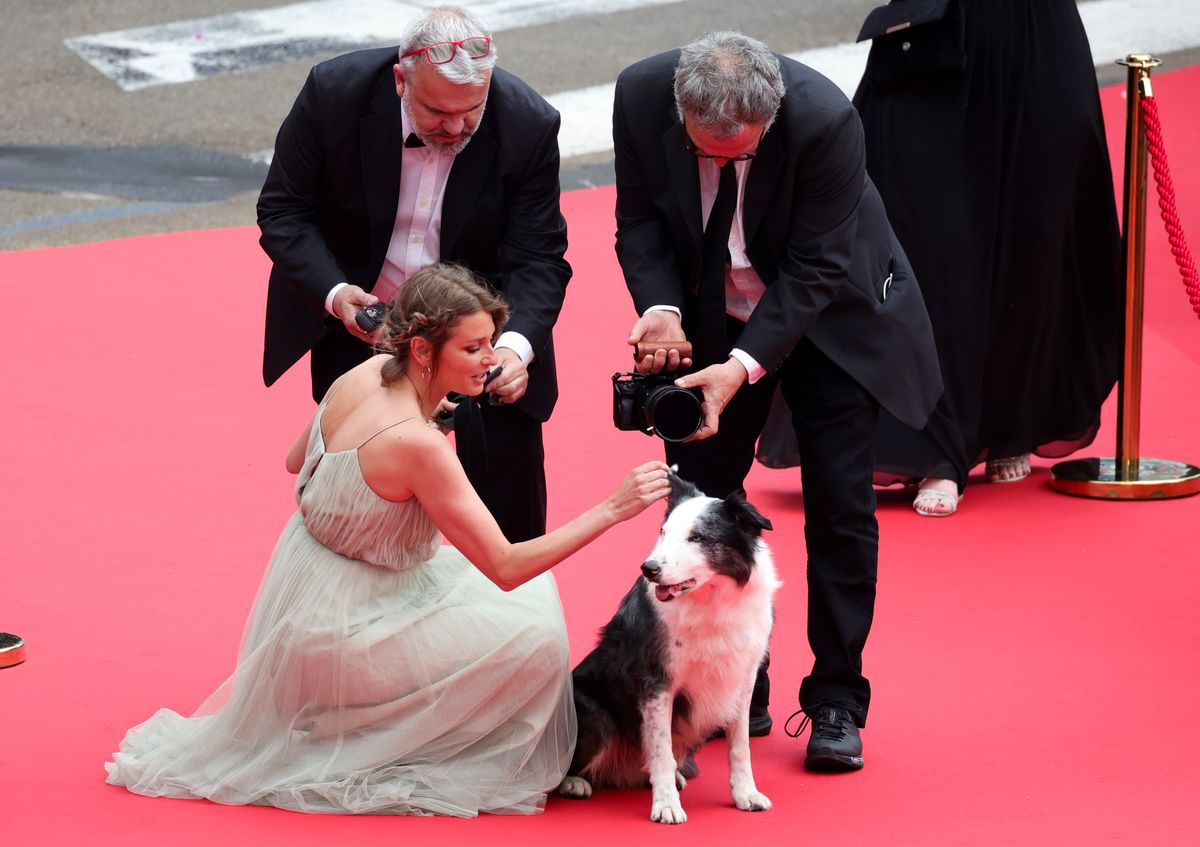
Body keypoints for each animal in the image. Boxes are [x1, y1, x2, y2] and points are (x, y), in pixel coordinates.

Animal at [559, 467, 782, 815]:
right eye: (663, 532)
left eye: (697, 537)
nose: (649, 569)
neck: (710, 601)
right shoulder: (657, 681)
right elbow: (661, 748)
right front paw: (666, 805)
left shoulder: (742, 678)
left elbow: (740, 746)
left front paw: (746, 793)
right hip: (595, 715)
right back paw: (574, 782)